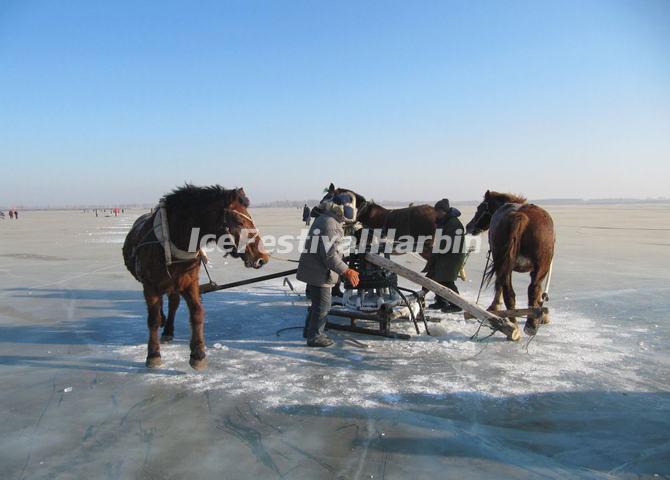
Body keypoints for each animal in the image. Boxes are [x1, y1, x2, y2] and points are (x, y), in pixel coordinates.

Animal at [122, 183, 270, 368]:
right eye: (240, 221)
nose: (262, 257)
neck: (172, 243)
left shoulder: (189, 282)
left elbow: (197, 312)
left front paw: (198, 354)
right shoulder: (150, 286)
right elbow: (153, 319)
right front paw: (153, 354)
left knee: (173, 304)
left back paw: (168, 330)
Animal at [468, 190, 556, 334]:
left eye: (479, 208)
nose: (468, 226)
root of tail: (520, 215)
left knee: (512, 290)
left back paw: (518, 322)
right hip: (536, 265)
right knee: (527, 288)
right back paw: (526, 323)